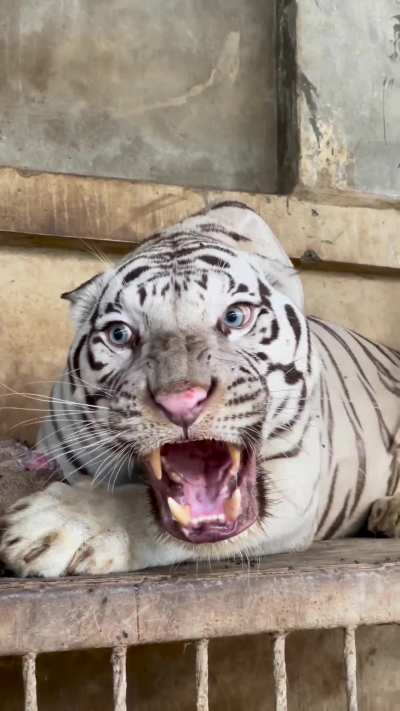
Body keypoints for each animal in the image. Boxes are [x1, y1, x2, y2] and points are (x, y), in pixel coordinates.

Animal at [1, 201, 400, 577]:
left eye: (236, 317)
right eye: (119, 334)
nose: (180, 403)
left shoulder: (297, 477)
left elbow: (135, 505)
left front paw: (56, 525)